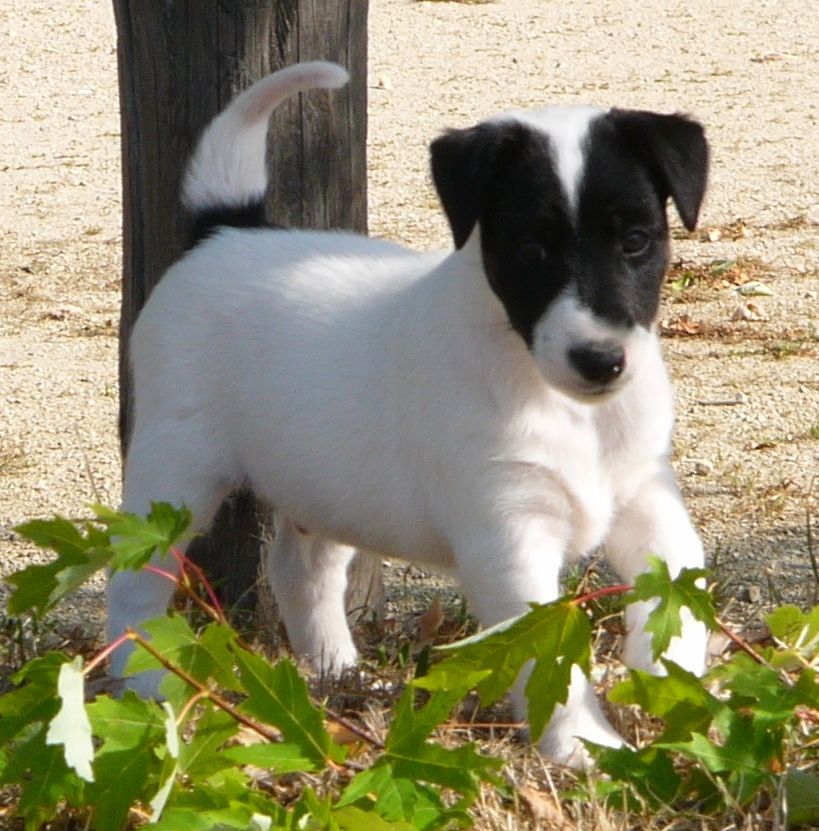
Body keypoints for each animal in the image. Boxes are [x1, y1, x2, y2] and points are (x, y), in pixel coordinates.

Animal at [107, 61, 710, 766]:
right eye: (531, 249)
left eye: (637, 240)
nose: (601, 360)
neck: (561, 401)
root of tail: (227, 230)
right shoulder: (510, 536)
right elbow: (548, 656)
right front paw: (584, 746)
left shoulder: (645, 494)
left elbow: (682, 580)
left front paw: (673, 682)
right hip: (176, 471)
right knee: (135, 576)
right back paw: (144, 685)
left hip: (325, 484)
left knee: (300, 572)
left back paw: (338, 674)